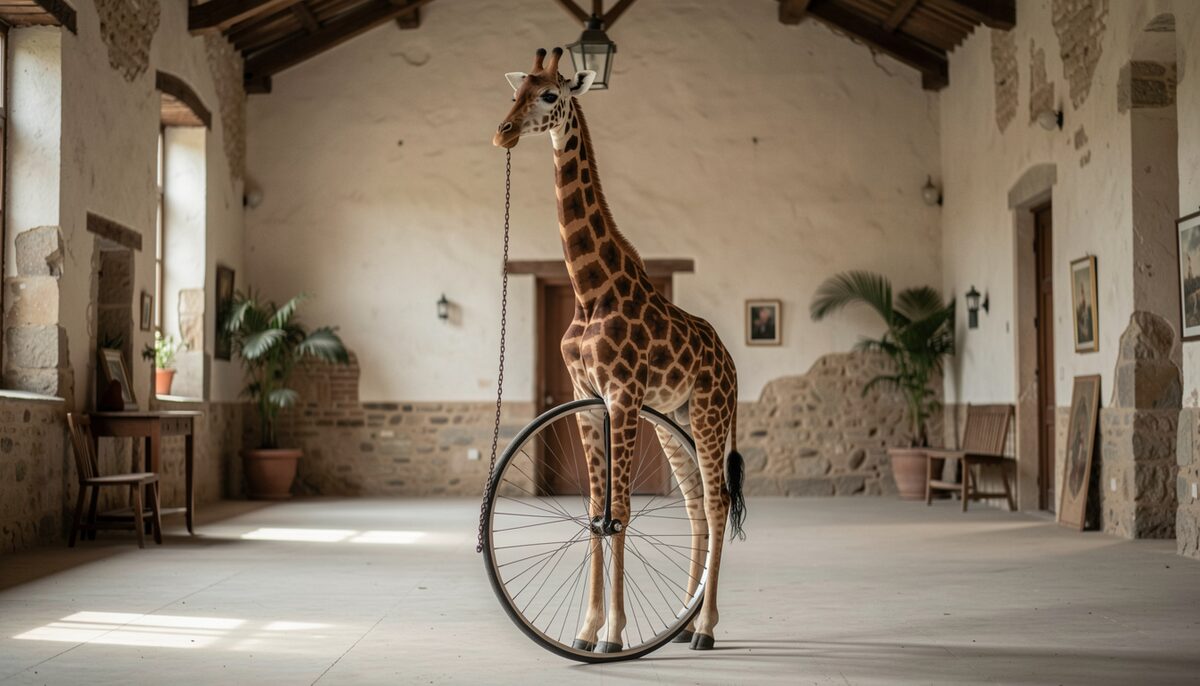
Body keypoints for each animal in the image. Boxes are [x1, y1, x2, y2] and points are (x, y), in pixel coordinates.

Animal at [493, 48, 746, 652]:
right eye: (514, 91)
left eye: (549, 94)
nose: (502, 132)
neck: (591, 290)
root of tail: (730, 362)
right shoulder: (589, 396)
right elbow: (594, 511)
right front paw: (587, 631)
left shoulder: (622, 394)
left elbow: (620, 512)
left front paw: (612, 635)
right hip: (675, 419)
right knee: (695, 504)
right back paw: (683, 621)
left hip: (708, 414)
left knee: (716, 502)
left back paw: (705, 628)